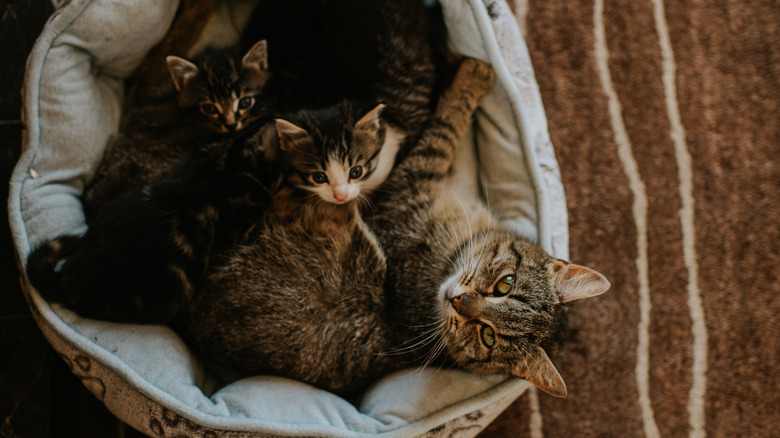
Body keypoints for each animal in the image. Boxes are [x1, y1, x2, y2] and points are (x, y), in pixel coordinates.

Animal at [175, 58, 608, 400]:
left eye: (488, 336)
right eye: (505, 283)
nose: (458, 302)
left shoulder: (408, 185)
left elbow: (445, 128)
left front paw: (471, 76)